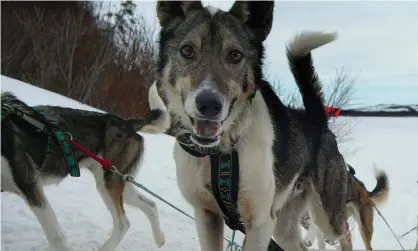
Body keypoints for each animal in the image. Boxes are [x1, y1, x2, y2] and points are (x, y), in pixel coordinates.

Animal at [2, 81, 168, 250]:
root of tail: (127, 123)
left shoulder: (30, 186)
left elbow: (56, 238)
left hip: (108, 183)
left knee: (123, 223)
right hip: (119, 183)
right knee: (150, 205)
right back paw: (159, 238)